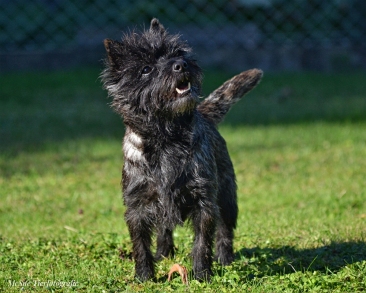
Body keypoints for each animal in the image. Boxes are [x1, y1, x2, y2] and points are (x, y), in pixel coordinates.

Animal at [102, 18, 264, 280]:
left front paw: (201, 273)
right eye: (146, 69)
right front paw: (144, 276)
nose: (181, 64)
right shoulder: (137, 204)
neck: (166, 138)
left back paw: (225, 259)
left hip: (227, 193)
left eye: (176, 53)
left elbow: (202, 240)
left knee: (225, 228)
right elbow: (140, 242)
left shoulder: (203, 199)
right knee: (164, 227)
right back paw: (163, 254)